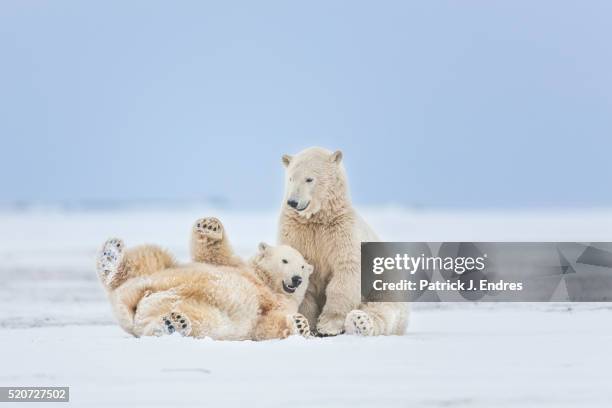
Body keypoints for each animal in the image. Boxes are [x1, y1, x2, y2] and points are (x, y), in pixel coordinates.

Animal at [97, 217, 316, 342]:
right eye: (285, 260)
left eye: (302, 267)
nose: (297, 279)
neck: (266, 283)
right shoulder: (238, 267)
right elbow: (214, 254)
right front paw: (210, 225)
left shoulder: (279, 305)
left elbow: (267, 325)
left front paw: (300, 325)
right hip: (156, 274)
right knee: (148, 257)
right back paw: (111, 255)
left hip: (201, 314)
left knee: (159, 324)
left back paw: (174, 323)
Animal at [280, 148, 408, 336]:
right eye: (291, 178)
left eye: (309, 179)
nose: (293, 202)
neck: (317, 218)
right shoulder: (296, 232)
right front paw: (305, 323)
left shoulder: (341, 230)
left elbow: (346, 269)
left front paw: (328, 326)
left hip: (385, 282)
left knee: (383, 310)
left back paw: (360, 322)